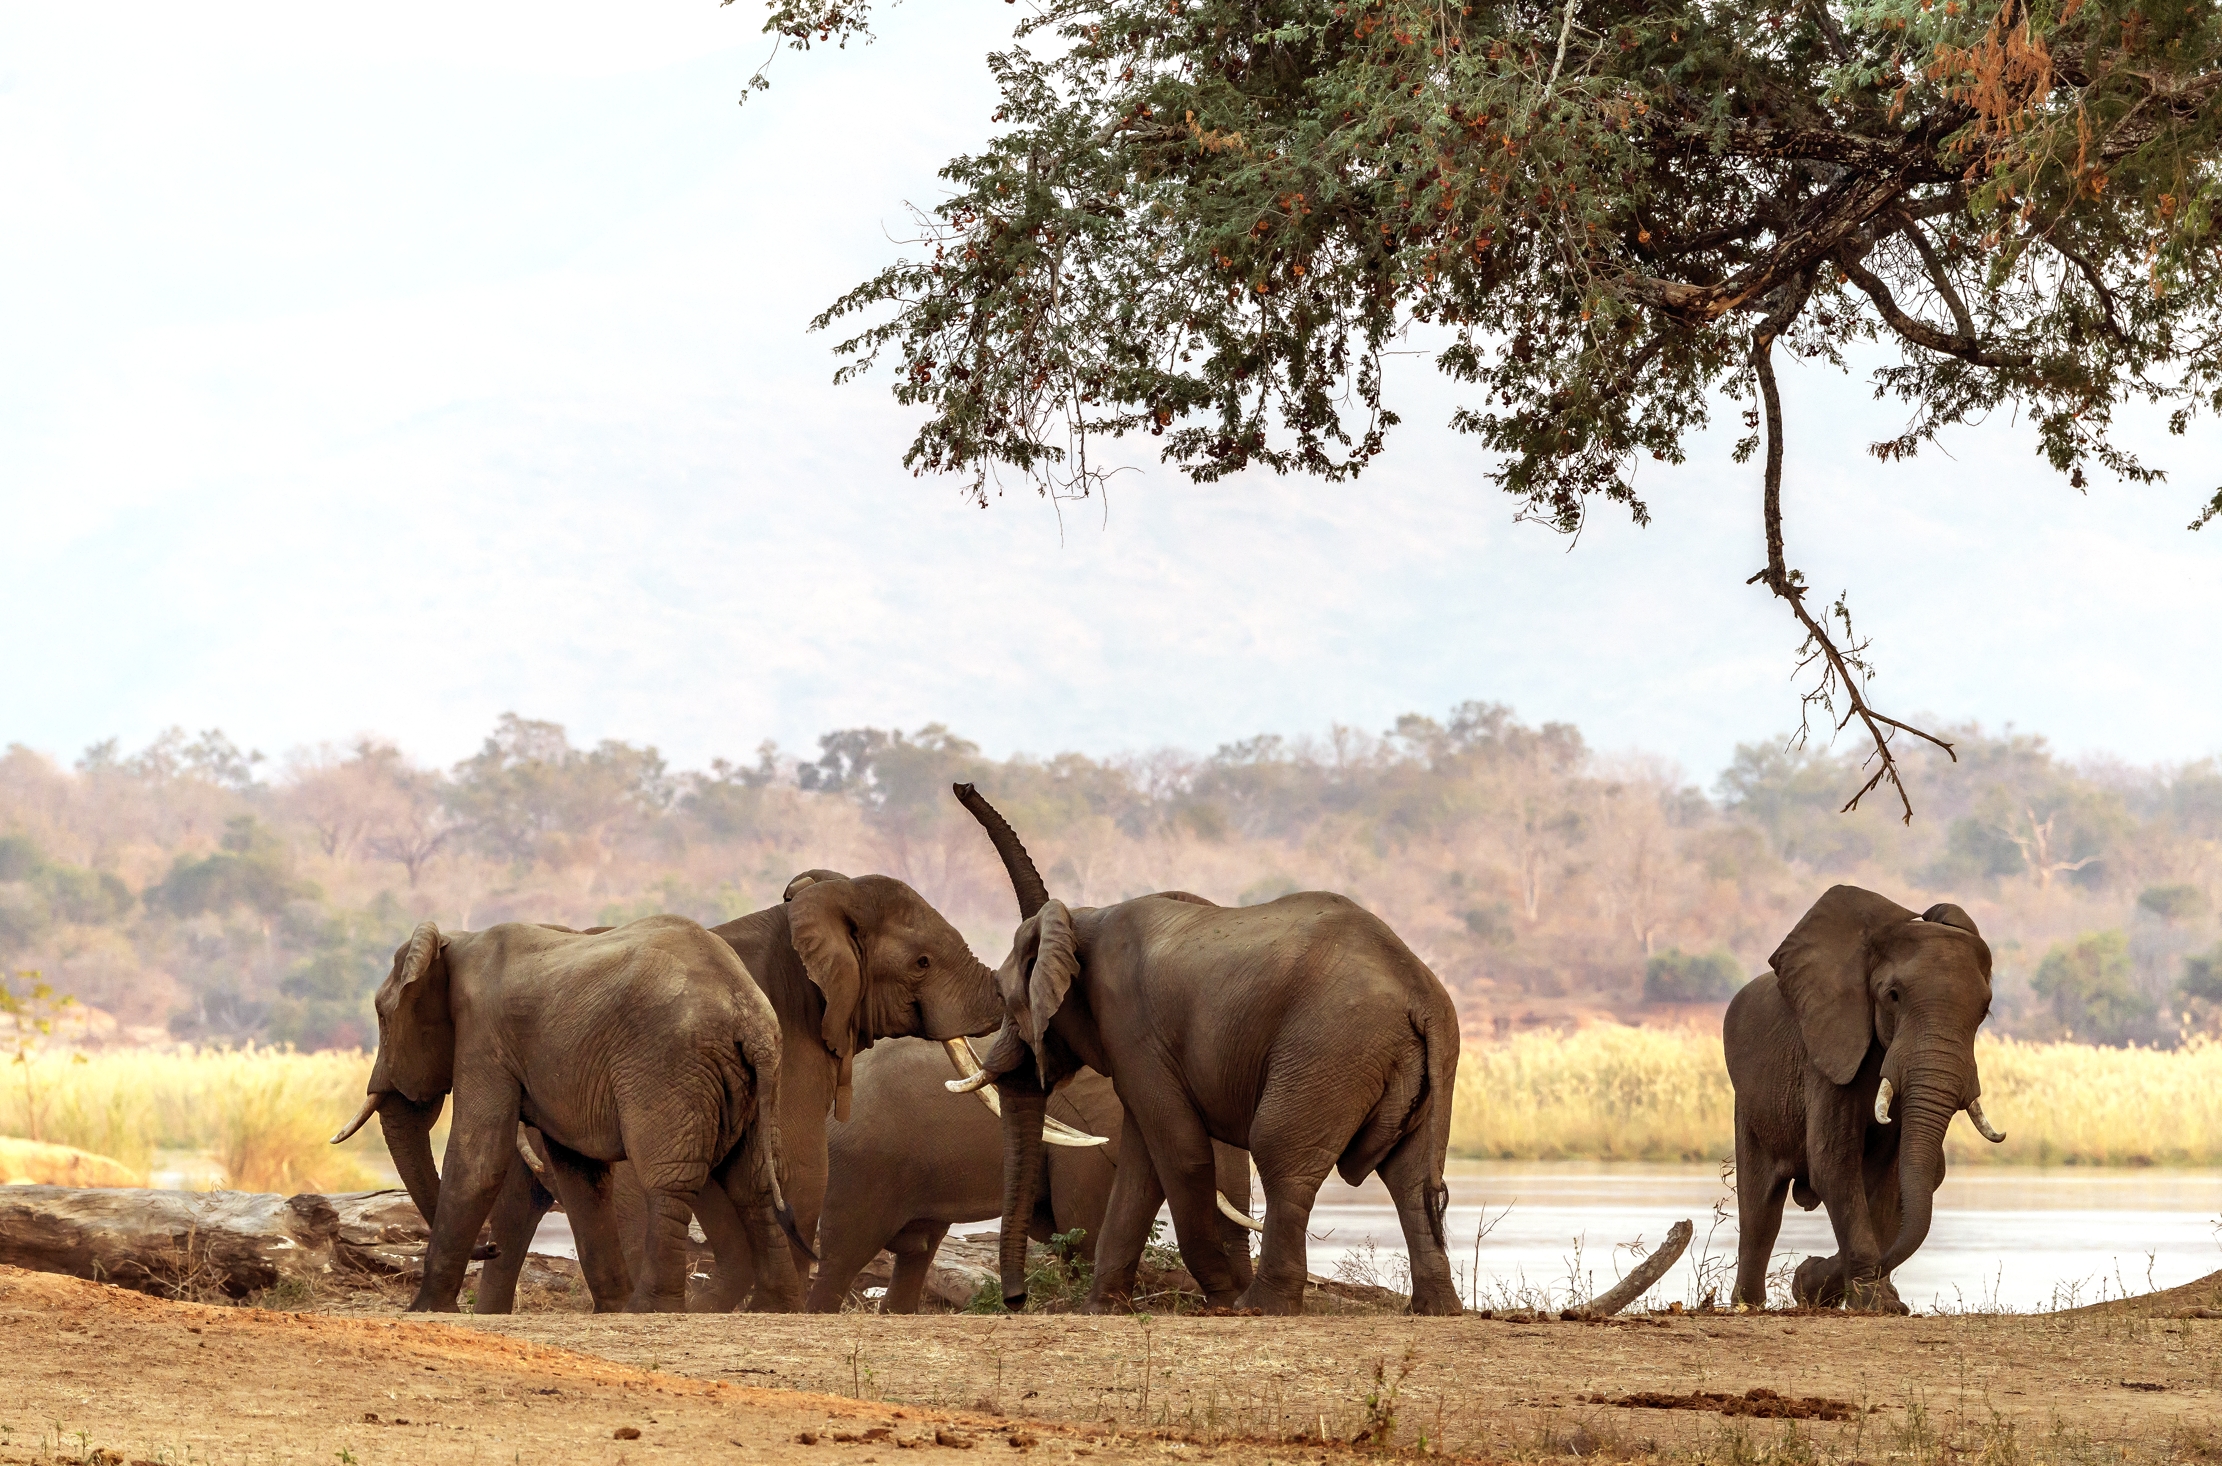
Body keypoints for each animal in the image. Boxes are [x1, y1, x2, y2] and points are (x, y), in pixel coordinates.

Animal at [328, 915, 805, 1313]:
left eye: (382, 1016)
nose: (490, 1248)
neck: (454, 942)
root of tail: (746, 1011)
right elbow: (580, 1175)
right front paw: (609, 1308)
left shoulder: (484, 1038)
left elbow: (478, 1160)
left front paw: (426, 1310)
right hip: (754, 1076)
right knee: (754, 1182)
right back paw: (773, 1306)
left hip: (669, 1066)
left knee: (668, 1181)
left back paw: (649, 1308)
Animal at [811, 1037, 1258, 1312]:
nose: (1235, 1300)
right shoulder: (1084, 1136)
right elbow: (1084, 1228)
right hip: (861, 1168)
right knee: (840, 1258)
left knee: (916, 1253)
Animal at [946, 783, 1463, 1317]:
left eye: (1007, 1000)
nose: (1016, 1299)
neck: (1082, 919)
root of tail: (1420, 991)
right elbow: (1142, 1164)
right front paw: (1102, 1308)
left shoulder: (1132, 1029)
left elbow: (1180, 1153)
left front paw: (1221, 1296)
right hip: (1413, 1059)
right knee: (1410, 1174)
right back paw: (1436, 1308)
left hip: (1331, 1046)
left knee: (1280, 1155)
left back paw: (1257, 1306)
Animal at [1724, 885, 2008, 1313]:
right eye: (1893, 996)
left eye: (1985, 1010)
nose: (1804, 1274)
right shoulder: (1829, 1054)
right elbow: (1834, 1163)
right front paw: (1868, 1299)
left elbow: (1891, 1176)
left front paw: (1855, 1292)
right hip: (1751, 1105)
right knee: (1760, 1209)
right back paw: (1748, 1304)